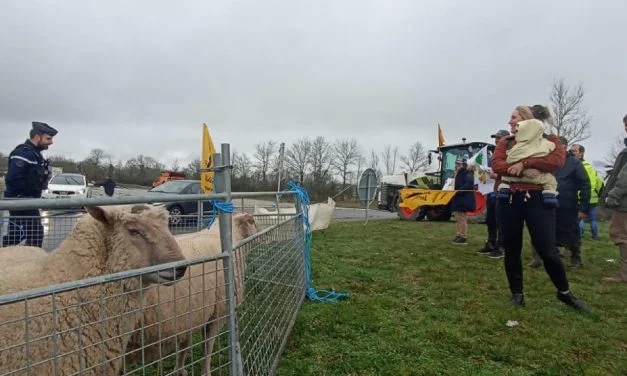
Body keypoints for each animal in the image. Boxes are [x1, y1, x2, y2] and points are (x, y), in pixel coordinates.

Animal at [124, 213, 262, 374]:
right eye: (253, 222)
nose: (263, 236)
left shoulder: (190, 314)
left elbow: (184, 345)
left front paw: (180, 369)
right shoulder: (217, 313)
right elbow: (207, 348)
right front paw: (206, 372)